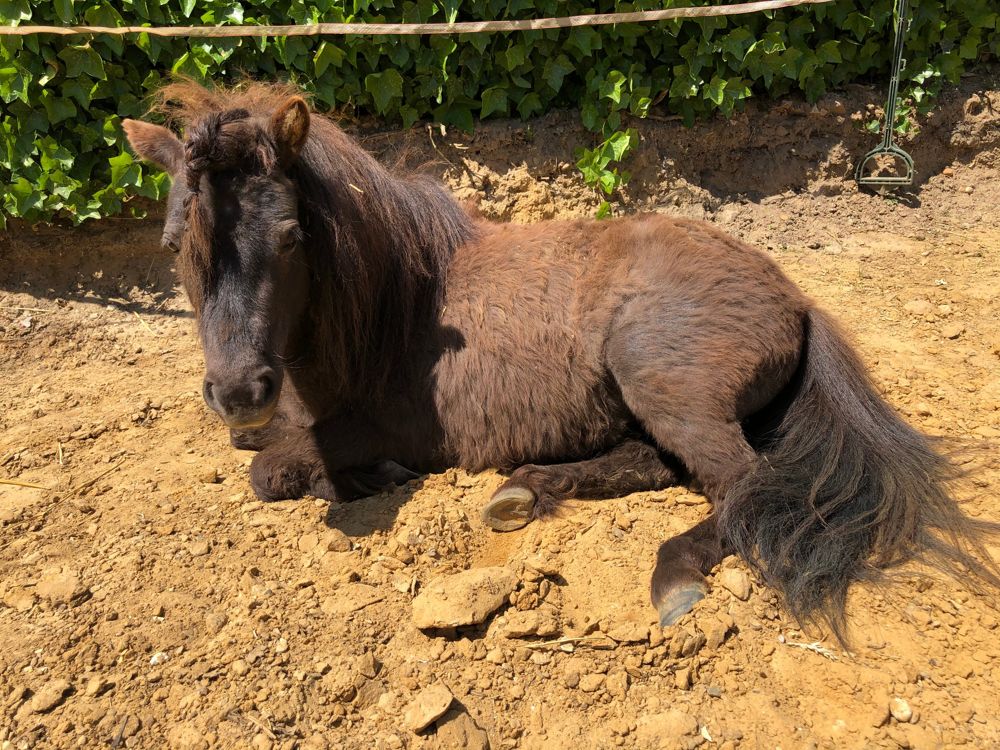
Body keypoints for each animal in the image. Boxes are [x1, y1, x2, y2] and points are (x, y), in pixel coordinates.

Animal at [122, 81, 997, 641]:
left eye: (291, 237)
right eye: (172, 245)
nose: (240, 390)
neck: (398, 303)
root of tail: (797, 299)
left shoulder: (380, 426)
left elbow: (268, 470)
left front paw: (359, 478)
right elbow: (259, 449)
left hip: (657, 377)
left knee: (741, 484)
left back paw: (672, 574)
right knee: (660, 463)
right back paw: (525, 491)